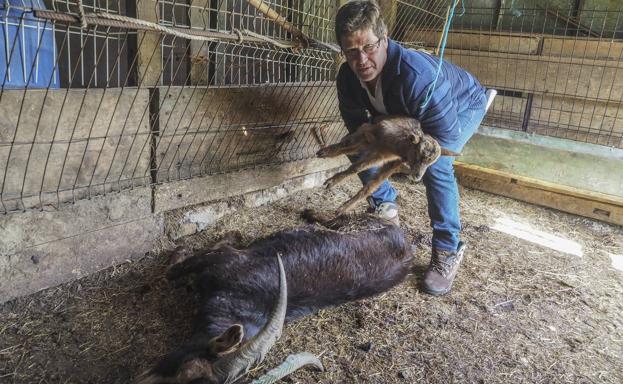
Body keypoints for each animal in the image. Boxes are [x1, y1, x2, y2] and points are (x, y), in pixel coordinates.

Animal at [139, 210, 416, 384]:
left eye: (190, 374)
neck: (246, 301)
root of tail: (407, 246)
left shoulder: (225, 260)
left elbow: (175, 269)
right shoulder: (219, 260)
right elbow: (176, 269)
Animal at [316, 115, 458, 214]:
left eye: (431, 163)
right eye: (418, 153)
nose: (417, 176)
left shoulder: (386, 159)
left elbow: (364, 177)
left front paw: (342, 207)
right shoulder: (369, 136)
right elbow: (348, 151)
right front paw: (327, 155)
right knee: (348, 145)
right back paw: (325, 152)